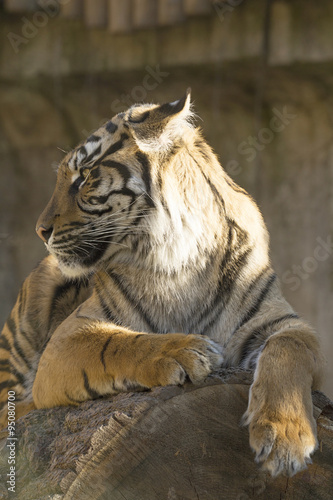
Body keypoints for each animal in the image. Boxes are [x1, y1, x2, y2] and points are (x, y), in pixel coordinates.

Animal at [0, 89, 322, 476]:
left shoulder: (283, 322)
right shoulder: (68, 335)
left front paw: (286, 437)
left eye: (84, 175)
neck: (178, 261)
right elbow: (116, 342)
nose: (40, 230)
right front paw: (186, 351)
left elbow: (289, 349)